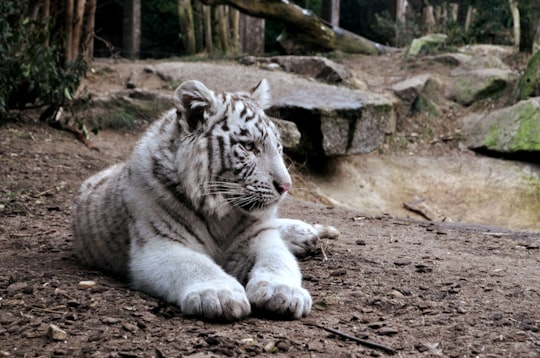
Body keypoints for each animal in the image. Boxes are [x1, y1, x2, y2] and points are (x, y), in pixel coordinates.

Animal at [68, 79, 338, 320]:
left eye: (279, 147)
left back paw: (303, 233)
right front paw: (219, 295)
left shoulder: (260, 236)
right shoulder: (159, 244)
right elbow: (196, 265)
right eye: (249, 147)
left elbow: (277, 260)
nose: (285, 186)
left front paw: (283, 293)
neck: (223, 213)